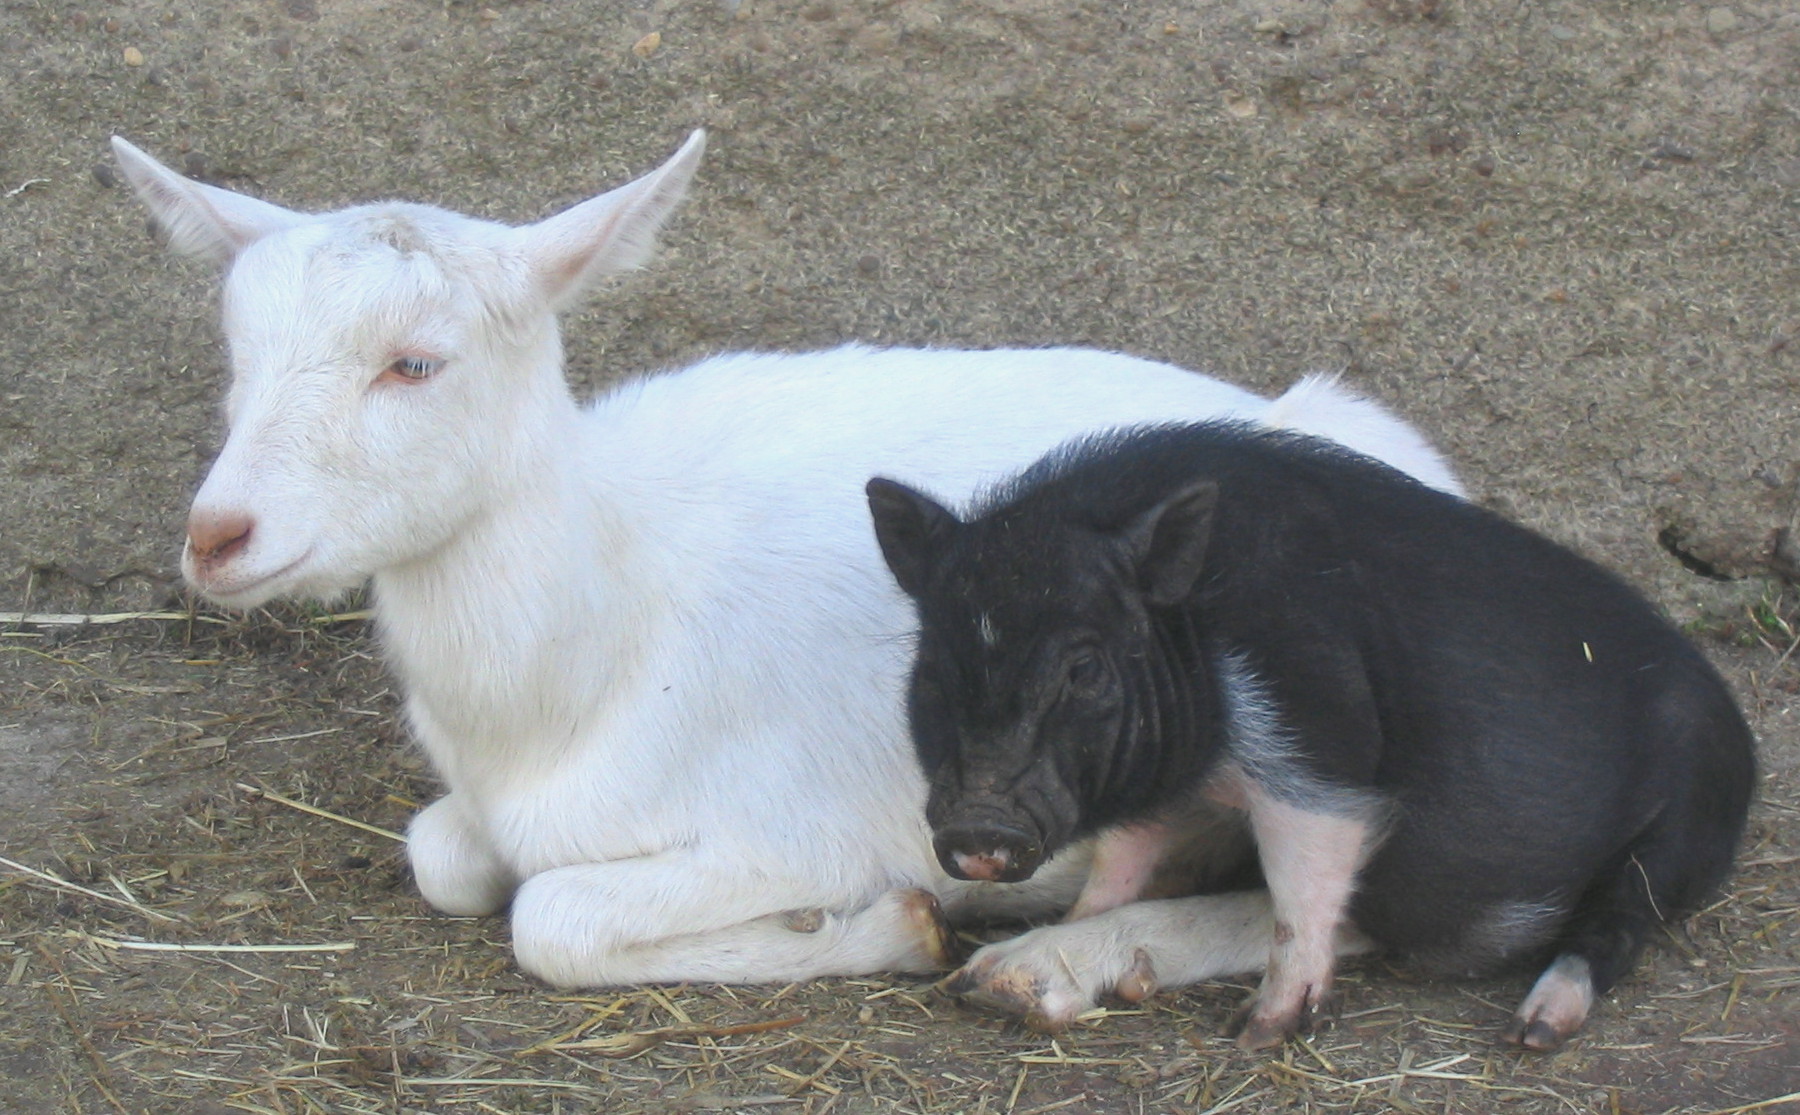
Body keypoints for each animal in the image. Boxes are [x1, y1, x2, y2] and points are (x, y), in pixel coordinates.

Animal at [866, 421, 1756, 1051]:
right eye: (934, 666)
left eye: (1084, 666)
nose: (979, 824)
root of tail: (1731, 711)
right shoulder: (1169, 777)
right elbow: (1127, 853)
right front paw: (1063, 926)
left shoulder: (1321, 733)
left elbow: (1306, 873)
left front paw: (1260, 1032)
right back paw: (1005, 979)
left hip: (1687, 817)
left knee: (1617, 921)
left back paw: (1535, 1028)